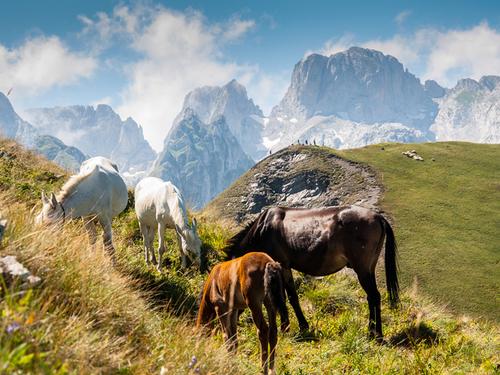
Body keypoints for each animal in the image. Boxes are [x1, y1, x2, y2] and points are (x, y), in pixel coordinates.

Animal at [225, 206, 400, 340]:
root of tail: (378, 217)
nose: (225, 328)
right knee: (372, 297)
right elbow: (291, 297)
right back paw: (374, 332)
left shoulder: (280, 265)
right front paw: (301, 326)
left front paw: (286, 327)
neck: (262, 230)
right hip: (369, 268)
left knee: (374, 296)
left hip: (362, 269)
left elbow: (283, 297)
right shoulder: (285, 267)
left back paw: (375, 334)